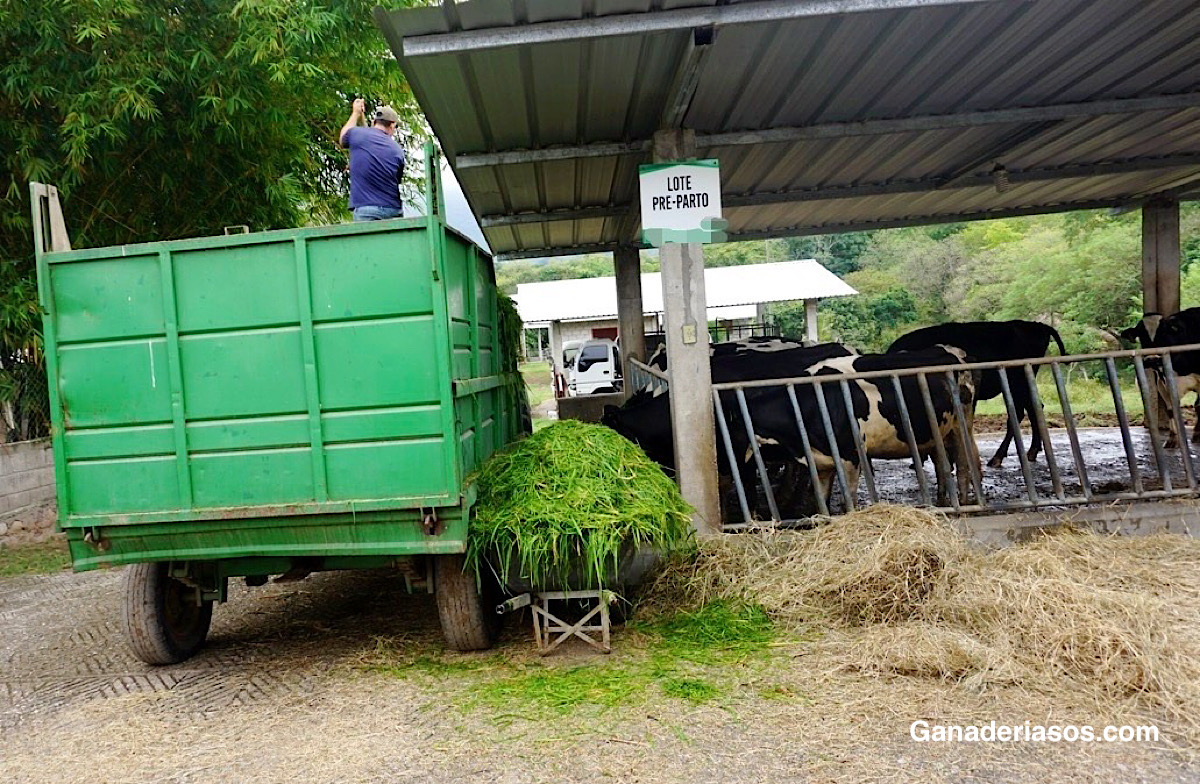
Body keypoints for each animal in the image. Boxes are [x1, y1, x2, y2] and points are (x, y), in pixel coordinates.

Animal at [888, 316, 1065, 465]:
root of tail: (1036, 325)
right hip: (1022, 384)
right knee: (1034, 408)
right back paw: (1033, 451)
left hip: (1017, 383)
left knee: (1019, 413)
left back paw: (998, 457)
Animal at [1118, 309, 1200, 449]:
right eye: (1141, 335)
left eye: (1164, 332)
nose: (1152, 359)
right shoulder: (1162, 383)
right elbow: (1171, 409)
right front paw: (1172, 439)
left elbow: (1199, 406)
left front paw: (1197, 434)